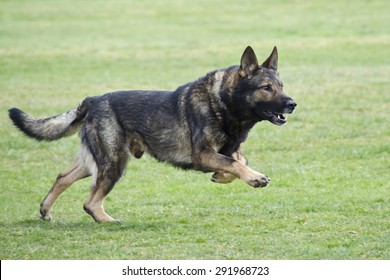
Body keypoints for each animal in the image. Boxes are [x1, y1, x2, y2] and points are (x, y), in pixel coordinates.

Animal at [8, 46, 296, 222]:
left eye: (281, 86)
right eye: (266, 88)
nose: (292, 104)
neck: (224, 102)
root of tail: (93, 100)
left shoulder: (227, 149)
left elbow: (237, 161)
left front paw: (223, 176)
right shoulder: (202, 154)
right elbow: (234, 162)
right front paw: (254, 178)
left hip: (98, 161)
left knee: (62, 177)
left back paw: (46, 210)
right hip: (114, 162)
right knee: (90, 202)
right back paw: (108, 220)